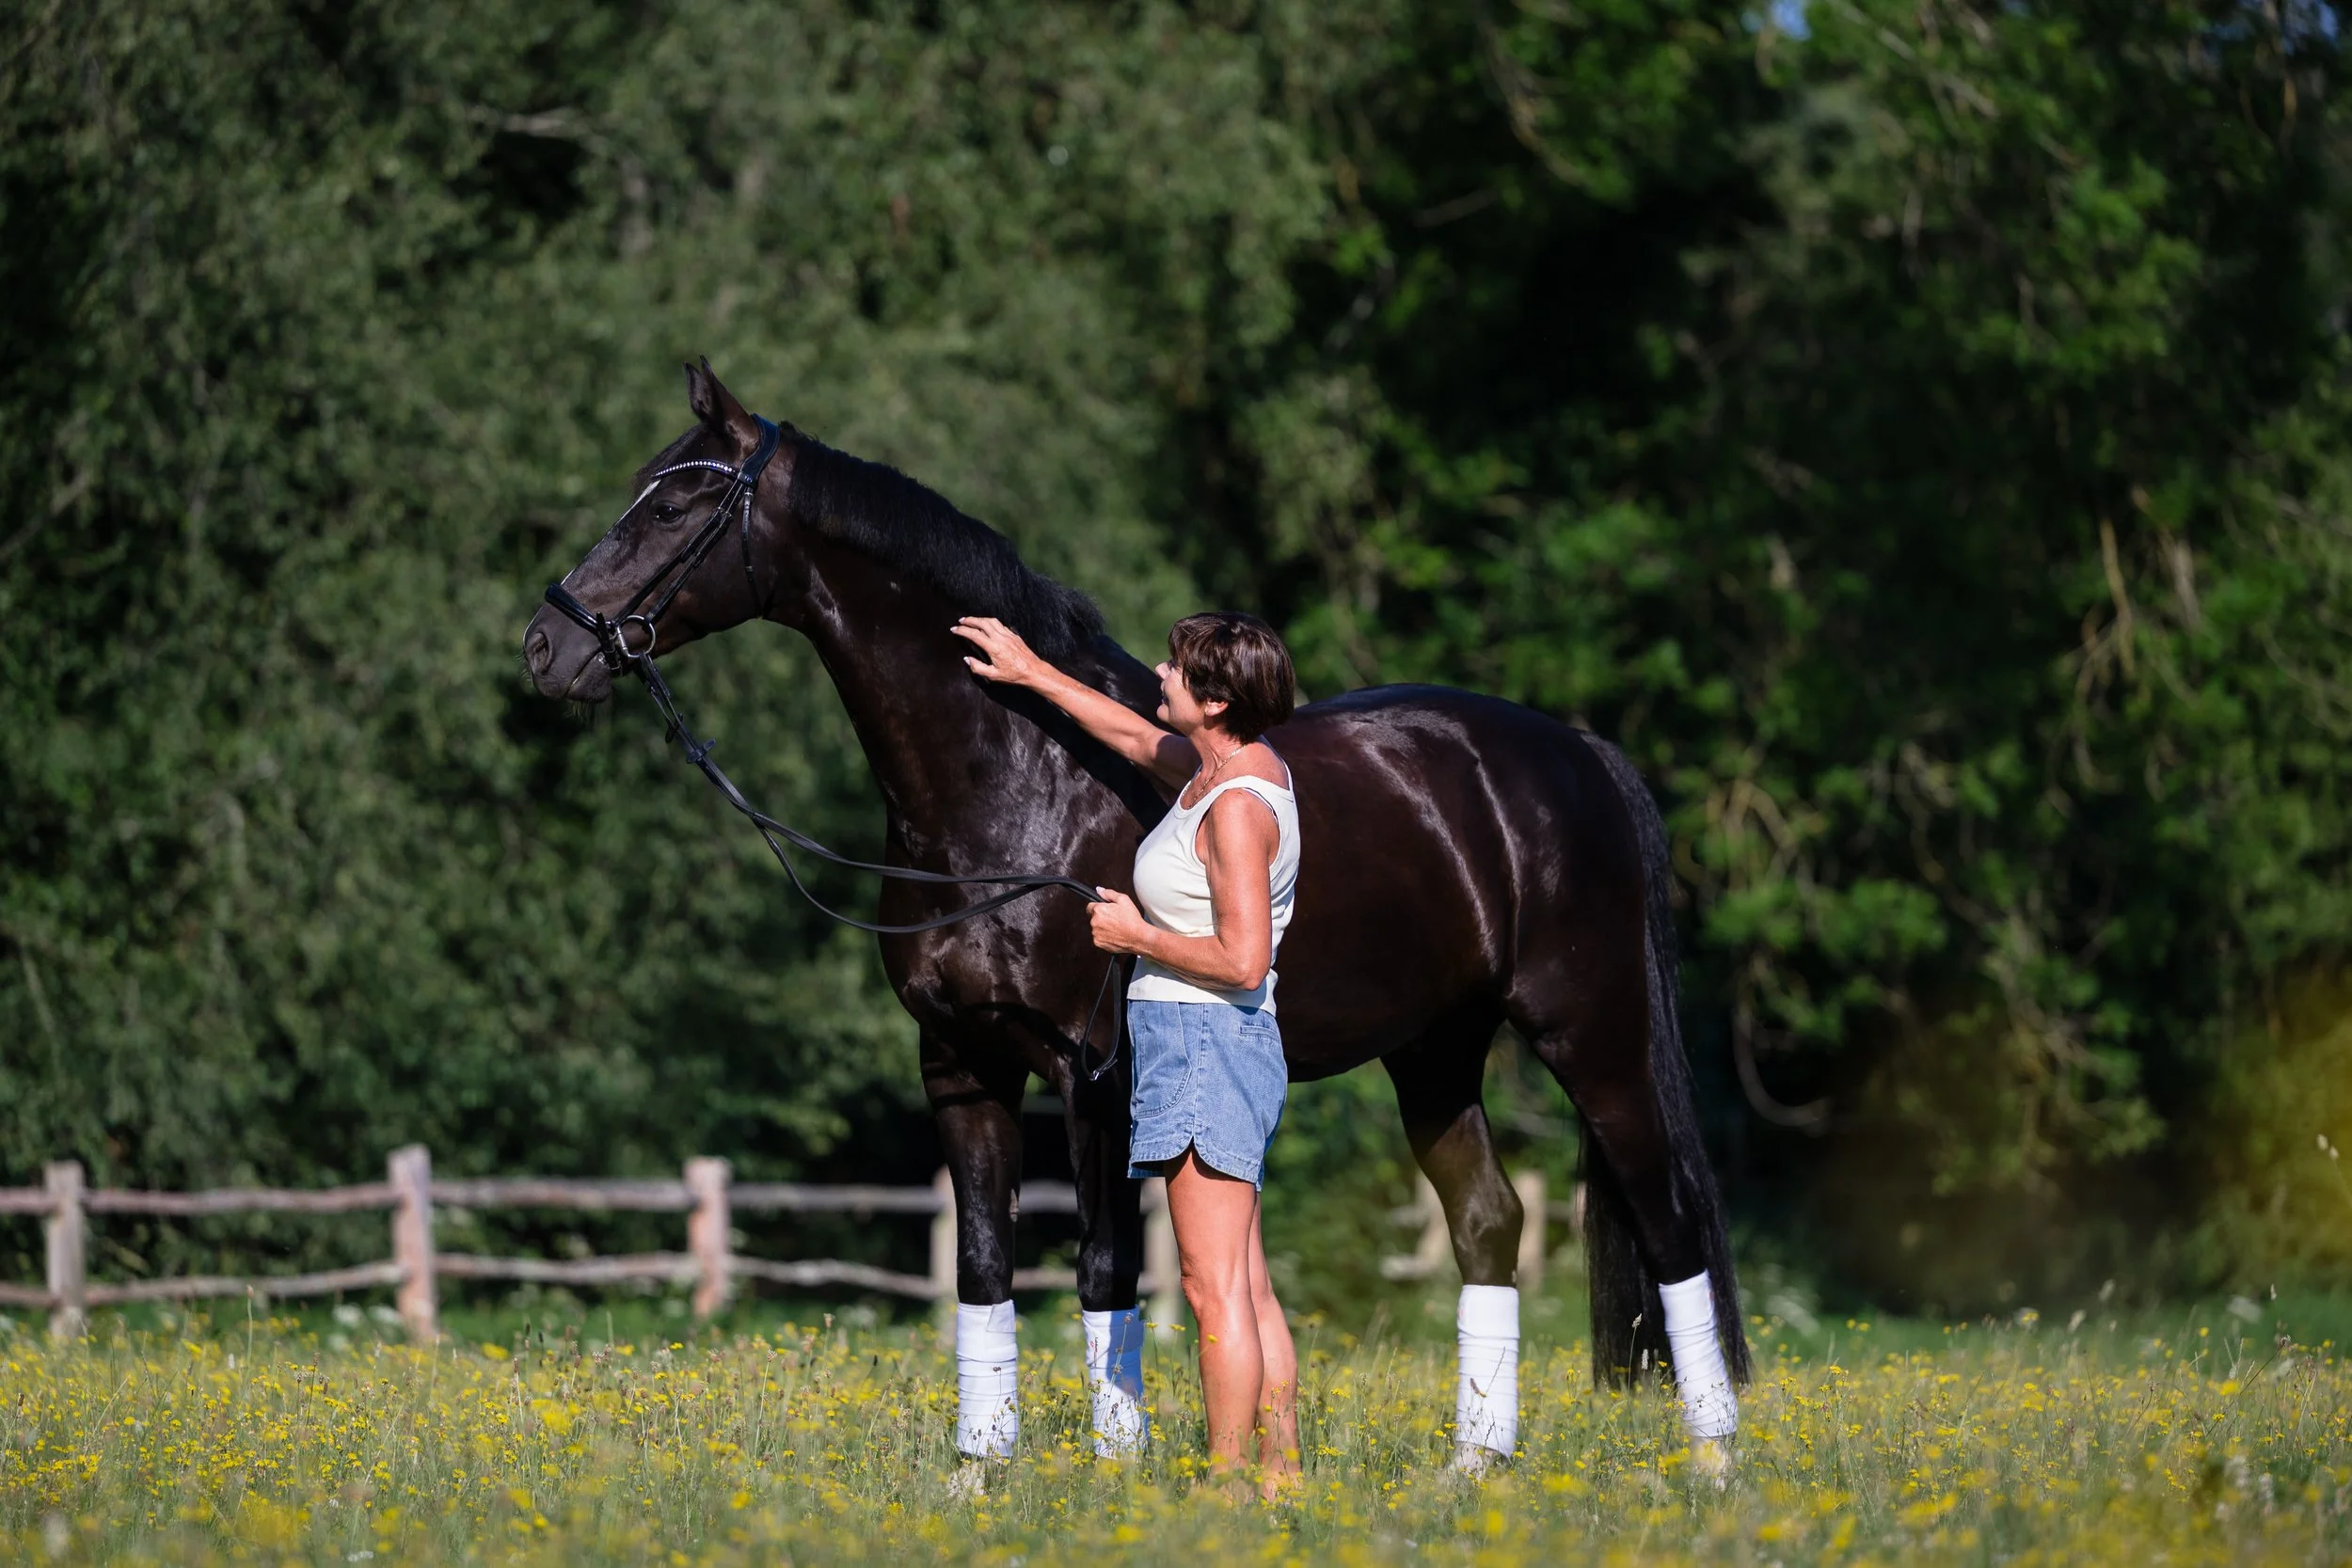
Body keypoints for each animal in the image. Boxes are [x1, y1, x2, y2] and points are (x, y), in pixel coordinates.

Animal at [522, 362, 1749, 1466]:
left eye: (674, 503)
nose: (548, 643)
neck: (1017, 783)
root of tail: (1570, 753)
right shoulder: (960, 1063)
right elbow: (981, 1268)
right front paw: (979, 1474)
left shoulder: (1096, 1074)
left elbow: (1104, 1271)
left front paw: (1120, 1475)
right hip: (1435, 1050)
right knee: (1489, 1221)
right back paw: (1472, 1468)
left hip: (1593, 1034)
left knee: (1672, 1221)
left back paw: (1715, 1459)